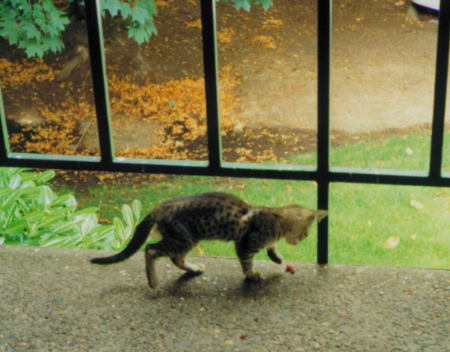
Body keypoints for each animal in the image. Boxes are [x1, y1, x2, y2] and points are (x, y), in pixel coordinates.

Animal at [91, 192, 328, 288]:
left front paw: (278, 258)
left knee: (176, 259)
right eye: (306, 234)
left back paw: (194, 268)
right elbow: (247, 263)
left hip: (187, 239)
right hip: (182, 239)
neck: (275, 219)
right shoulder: (244, 244)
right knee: (150, 250)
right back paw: (153, 281)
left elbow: (272, 249)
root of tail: (159, 209)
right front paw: (251, 276)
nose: (302, 240)